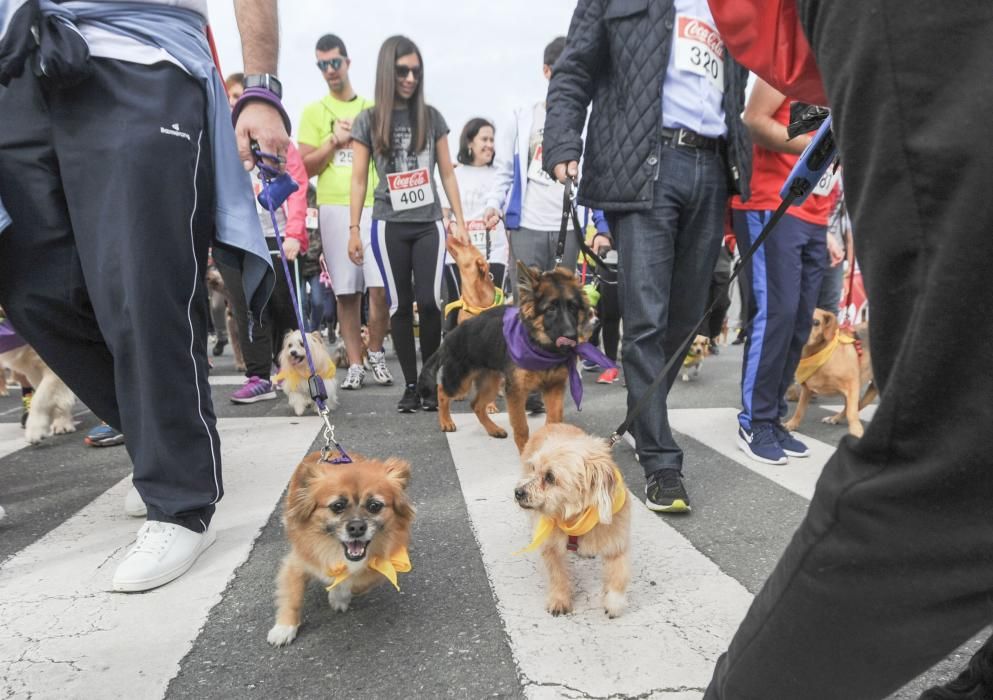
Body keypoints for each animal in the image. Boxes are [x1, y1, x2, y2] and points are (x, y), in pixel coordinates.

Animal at [266, 454, 412, 644]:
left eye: (375, 506)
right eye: (337, 506)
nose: (357, 527)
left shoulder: (379, 567)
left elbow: (356, 583)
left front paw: (338, 595)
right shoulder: (297, 563)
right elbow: (293, 597)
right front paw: (284, 628)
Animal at [416, 262, 592, 454]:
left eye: (573, 307)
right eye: (551, 309)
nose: (572, 337)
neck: (542, 348)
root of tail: (451, 335)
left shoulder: (554, 387)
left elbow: (554, 421)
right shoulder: (516, 392)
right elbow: (522, 428)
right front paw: (525, 456)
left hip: (491, 383)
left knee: (476, 405)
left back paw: (493, 429)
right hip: (460, 383)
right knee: (442, 391)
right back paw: (446, 421)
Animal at [512, 424, 628, 616]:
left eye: (550, 477)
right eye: (533, 468)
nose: (517, 492)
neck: (575, 517)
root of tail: (551, 424)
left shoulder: (616, 544)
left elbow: (619, 575)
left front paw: (614, 602)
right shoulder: (550, 547)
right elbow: (557, 575)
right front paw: (560, 600)